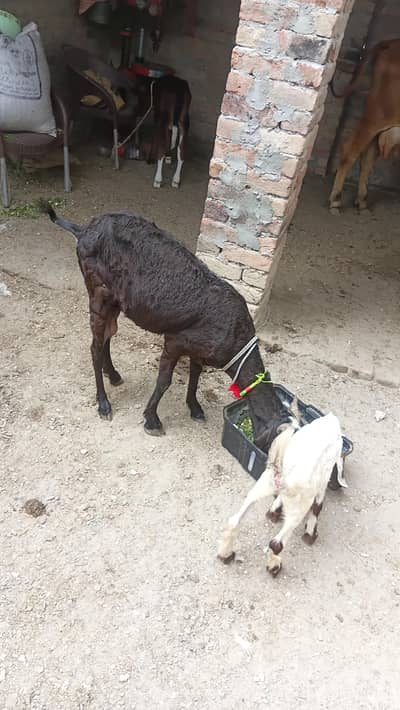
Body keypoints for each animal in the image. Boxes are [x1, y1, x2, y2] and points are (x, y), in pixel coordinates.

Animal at [41, 203, 290, 450]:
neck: (235, 336)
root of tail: (84, 229)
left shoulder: (199, 348)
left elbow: (195, 374)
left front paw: (195, 407)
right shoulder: (175, 340)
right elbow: (164, 381)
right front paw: (152, 420)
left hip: (114, 299)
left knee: (108, 336)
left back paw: (112, 374)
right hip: (98, 290)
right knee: (95, 345)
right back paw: (103, 403)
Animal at [218, 411, 345, 576]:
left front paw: (273, 512)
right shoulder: (322, 482)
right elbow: (317, 507)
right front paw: (310, 534)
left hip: (263, 484)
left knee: (234, 520)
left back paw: (225, 554)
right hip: (297, 509)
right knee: (276, 543)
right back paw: (274, 567)